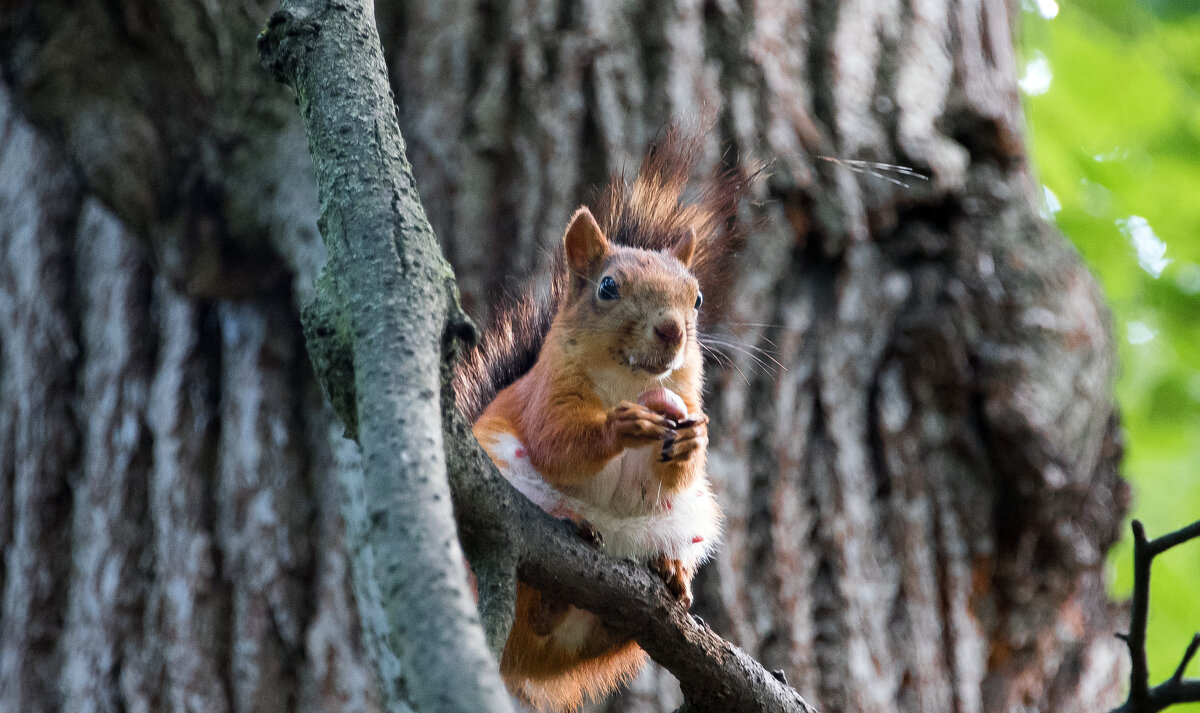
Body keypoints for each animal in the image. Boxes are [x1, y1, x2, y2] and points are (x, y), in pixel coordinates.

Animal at [453, 126, 744, 705]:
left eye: (697, 298)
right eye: (608, 287)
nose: (672, 330)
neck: (631, 382)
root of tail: (525, 663)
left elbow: (670, 475)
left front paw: (693, 443)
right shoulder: (545, 396)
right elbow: (558, 443)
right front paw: (620, 426)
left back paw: (669, 578)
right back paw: (561, 560)